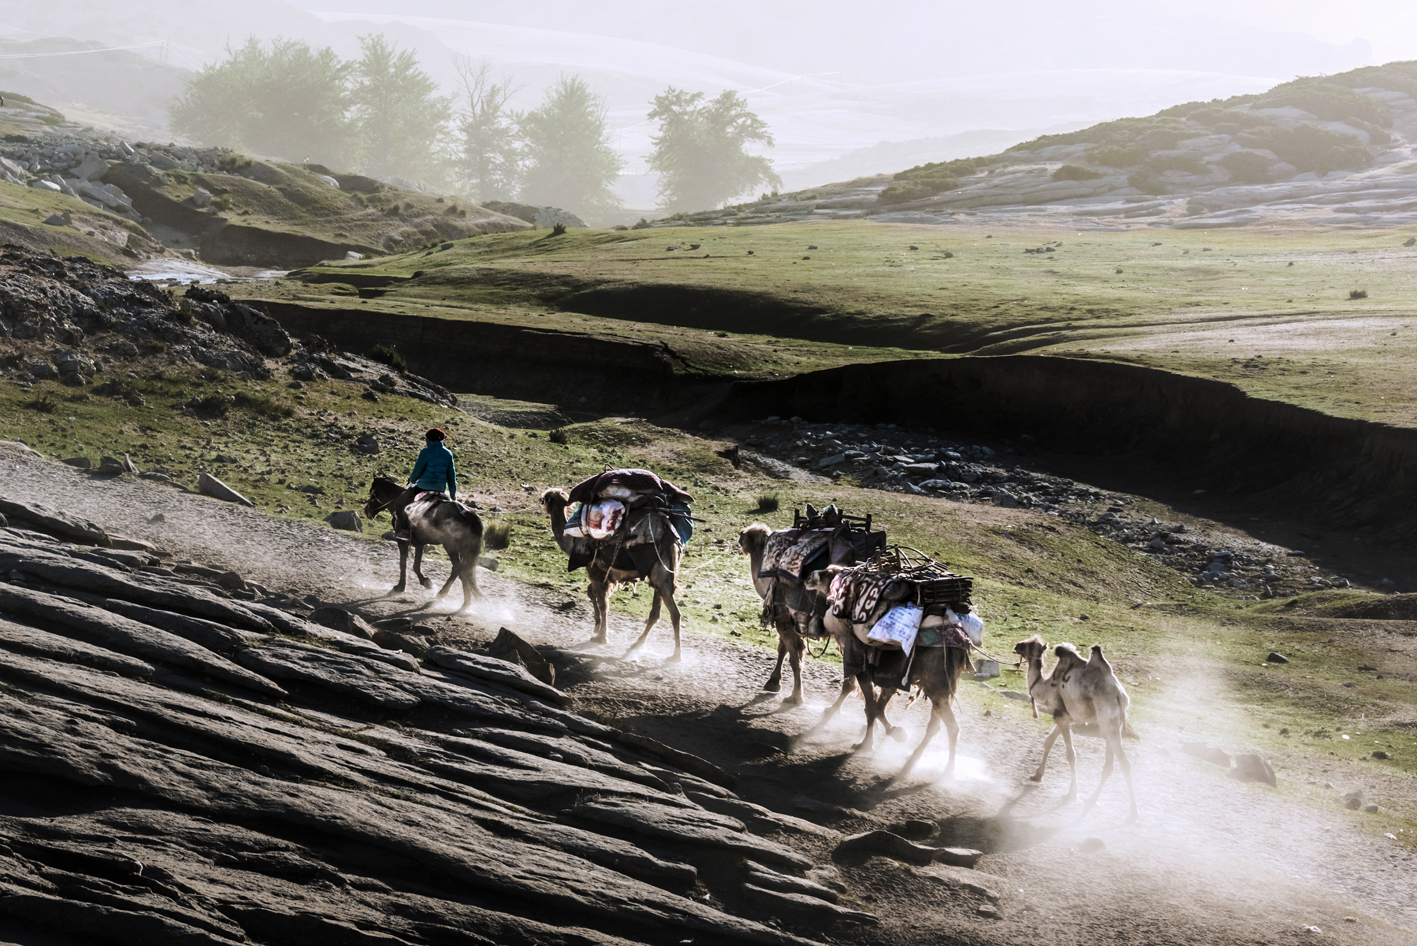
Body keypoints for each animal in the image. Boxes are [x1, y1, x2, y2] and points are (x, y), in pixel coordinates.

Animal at [363, 476, 505, 611]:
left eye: (371, 492)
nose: (366, 511)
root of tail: (467, 514)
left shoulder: (402, 540)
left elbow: (403, 564)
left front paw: (400, 587)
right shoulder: (419, 543)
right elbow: (416, 565)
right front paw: (425, 581)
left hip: (451, 546)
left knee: (459, 568)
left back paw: (455, 598)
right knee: (461, 569)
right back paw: (454, 598)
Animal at [541, 488, 685, 661]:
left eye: (547, 498)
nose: (541, 500)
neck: (573, 542)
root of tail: (673, 543)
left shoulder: (596, 570)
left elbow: (603, 603)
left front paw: (601, 637)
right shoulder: (606, 575)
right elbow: (592, 594)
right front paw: (597, 627)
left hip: (661, 575)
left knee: (674, 613)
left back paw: (675, 655)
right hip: (658, 577)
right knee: (656, 613)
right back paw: (637, 645)